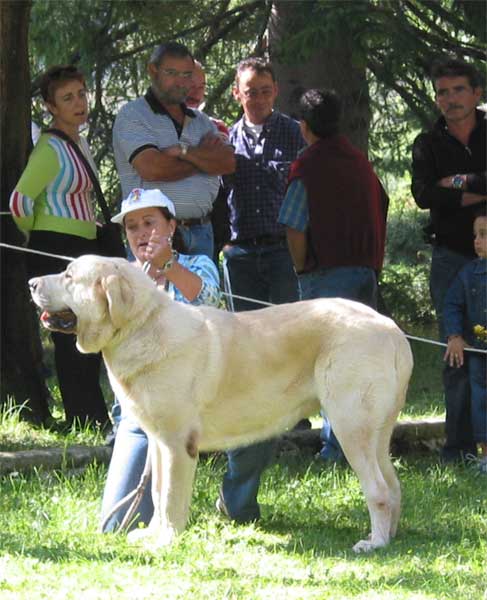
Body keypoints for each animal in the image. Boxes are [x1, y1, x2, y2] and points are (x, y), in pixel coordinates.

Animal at [29, 254, 412, 552]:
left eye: (69, 276)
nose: (31, 282)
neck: (139, 328)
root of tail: (391, 328)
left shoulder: (176, 444)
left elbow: (170, 496)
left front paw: (166, 540)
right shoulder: (158, 442)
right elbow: (156, 490)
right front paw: (152, 535)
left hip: (350, 427)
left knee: (378, 489)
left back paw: (374, 543)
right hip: (375, 434)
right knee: (393, 486)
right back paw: (390, 536)